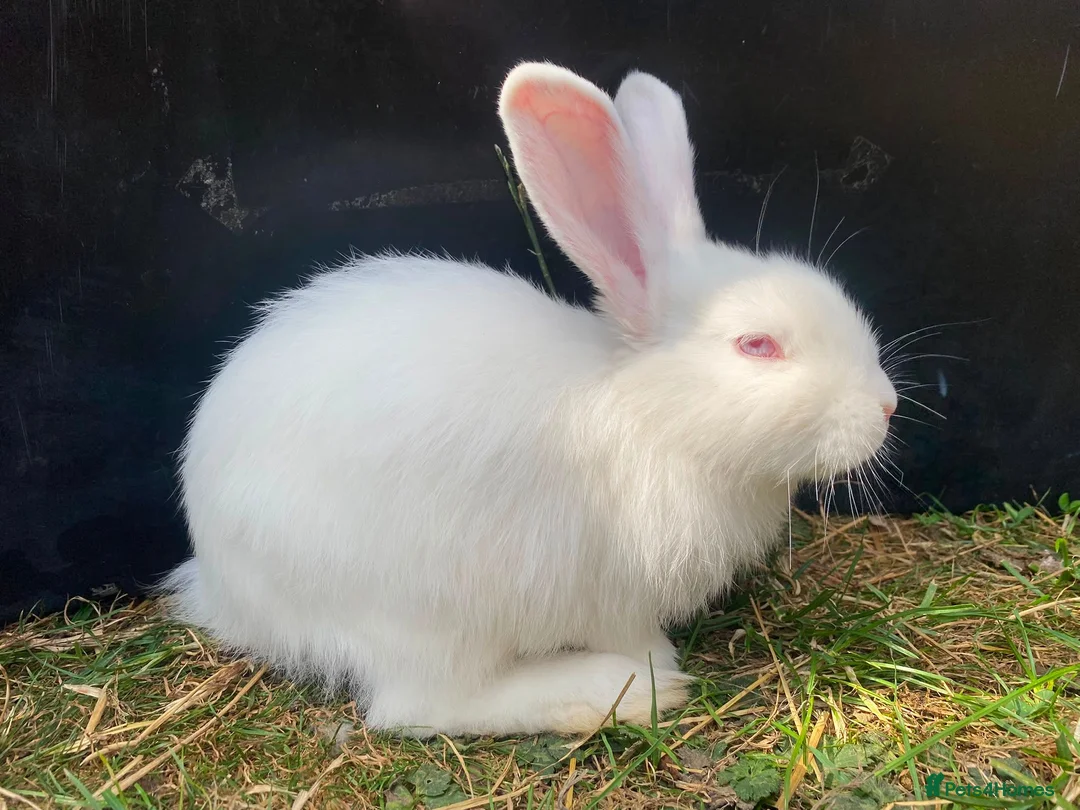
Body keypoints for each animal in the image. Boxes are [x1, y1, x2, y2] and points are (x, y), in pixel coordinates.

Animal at [161, 61, 898, 738]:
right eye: (757, 345)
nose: (887, 407)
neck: (654, 415)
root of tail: (225, 592)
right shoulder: (615, 593)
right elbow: (633, 634)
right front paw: (658, 665)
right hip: (419, 611)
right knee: (419, 708)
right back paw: (618, 694)